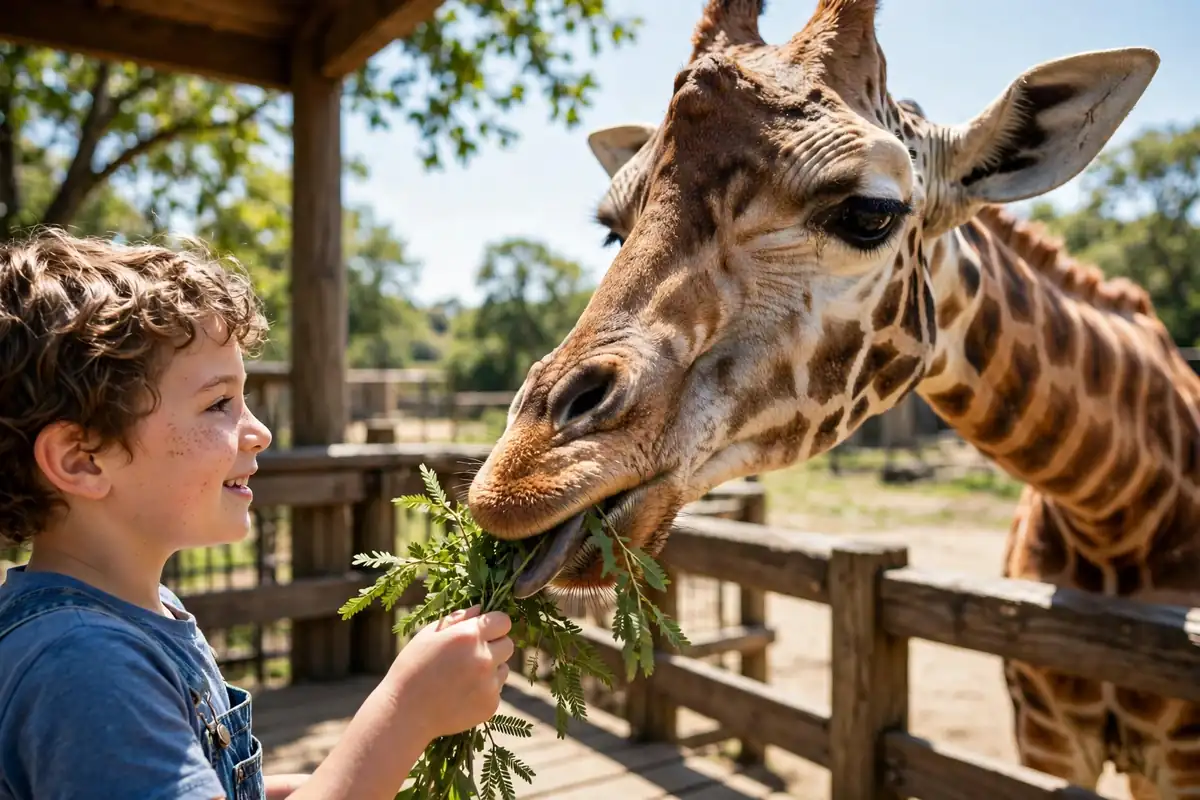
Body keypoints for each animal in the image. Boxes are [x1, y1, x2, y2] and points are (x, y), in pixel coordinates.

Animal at [464, 1, 1200, 795]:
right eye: (611, 230)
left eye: (870, 212)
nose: (522, 475)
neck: (1117, 513)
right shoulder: (1047, 734)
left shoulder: (1171, 758)